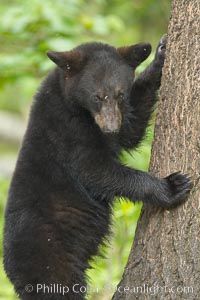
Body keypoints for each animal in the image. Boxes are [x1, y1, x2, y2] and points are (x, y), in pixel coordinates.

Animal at [2, 35, 192, 300]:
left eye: (119, 95)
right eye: (96, 97)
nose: (111, 128)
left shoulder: (116, 120)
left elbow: (131, 128)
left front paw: (160, 56)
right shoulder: (68, 133)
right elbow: (96, 170)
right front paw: (173, 186)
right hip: (49, 256)